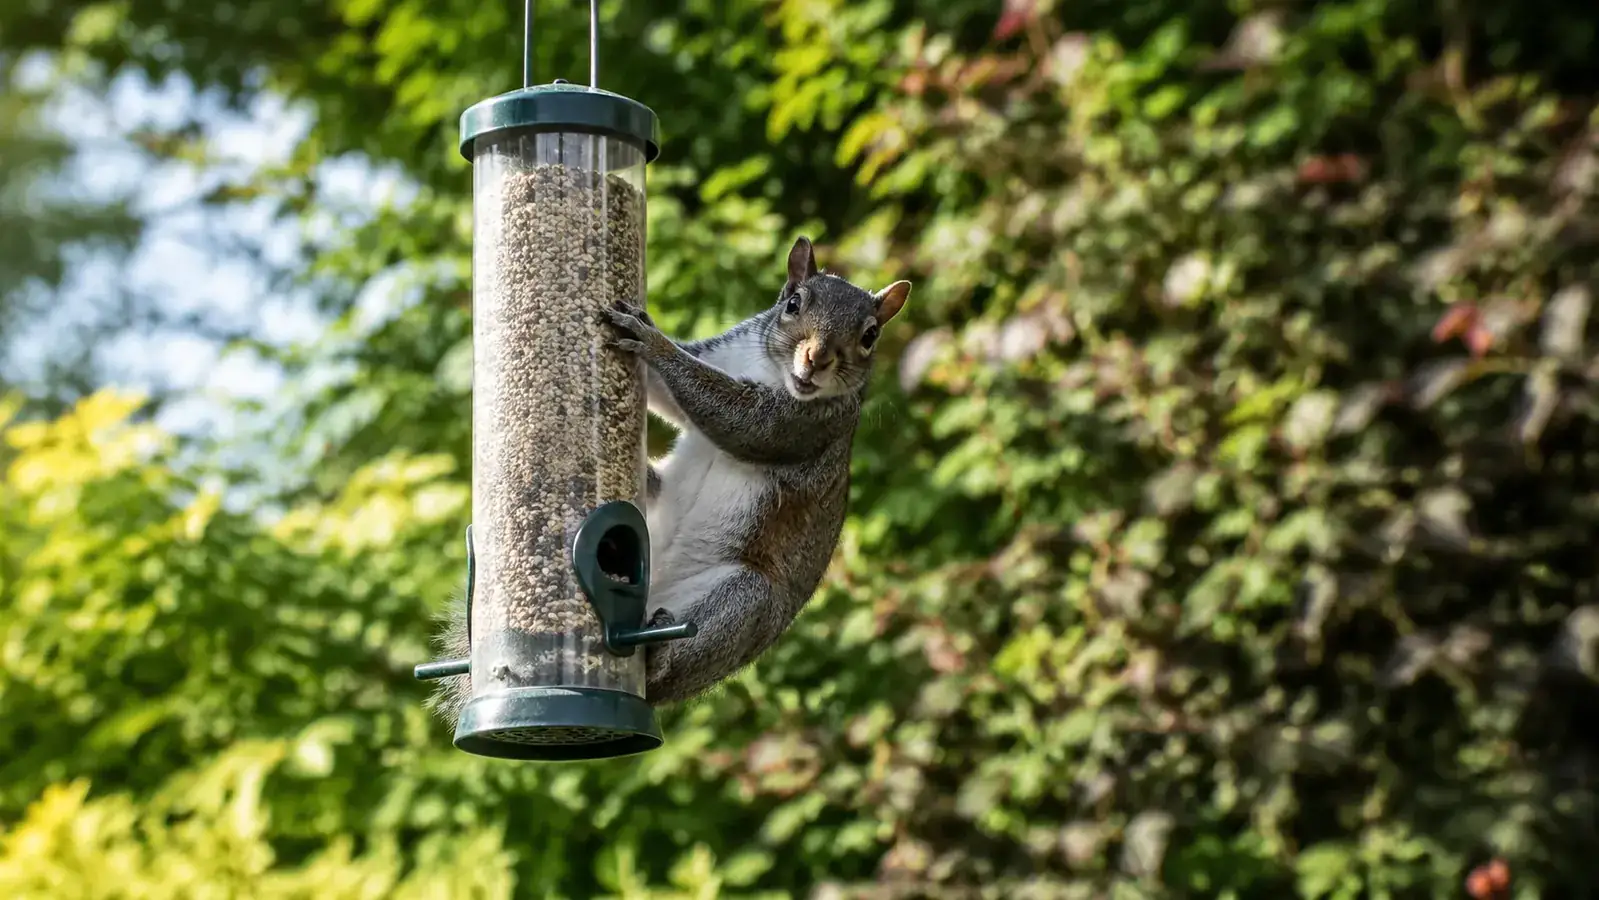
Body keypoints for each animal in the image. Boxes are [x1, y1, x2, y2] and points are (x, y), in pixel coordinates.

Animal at [428, 236, 910, 718]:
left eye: (870, 336)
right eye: (793, 303)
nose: (817, 359)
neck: (771, 370)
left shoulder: (806, 425)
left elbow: (746, 422)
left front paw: (653, 342)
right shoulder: (718, 353)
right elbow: (668, 393)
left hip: (744, 606)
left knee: (676, 658)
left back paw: (657, 654)